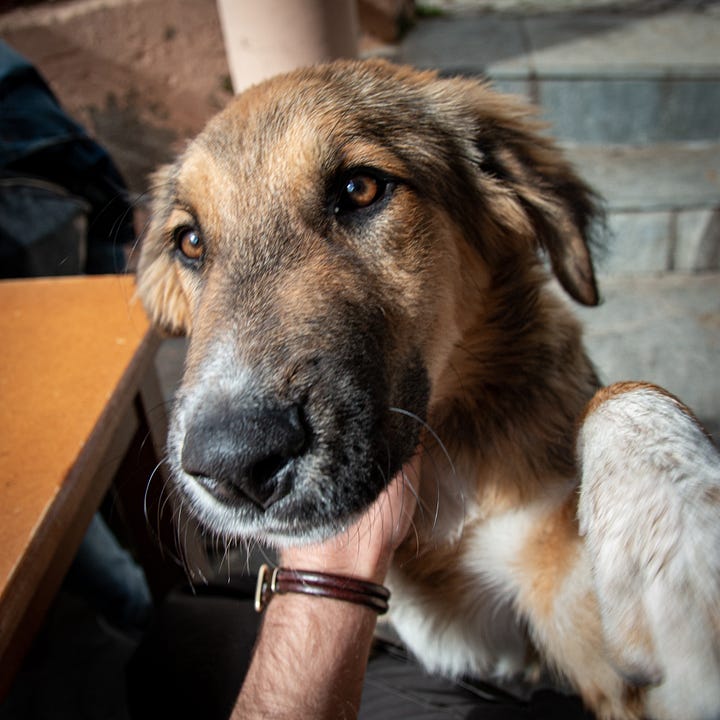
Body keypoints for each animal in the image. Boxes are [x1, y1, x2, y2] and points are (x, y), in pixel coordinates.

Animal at [136, 59, 720, 716]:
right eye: (189, 242)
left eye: (359, 189)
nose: (232, 465)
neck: (444, 469)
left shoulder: (578, 628)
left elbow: (622, 394)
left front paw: (681, 552)